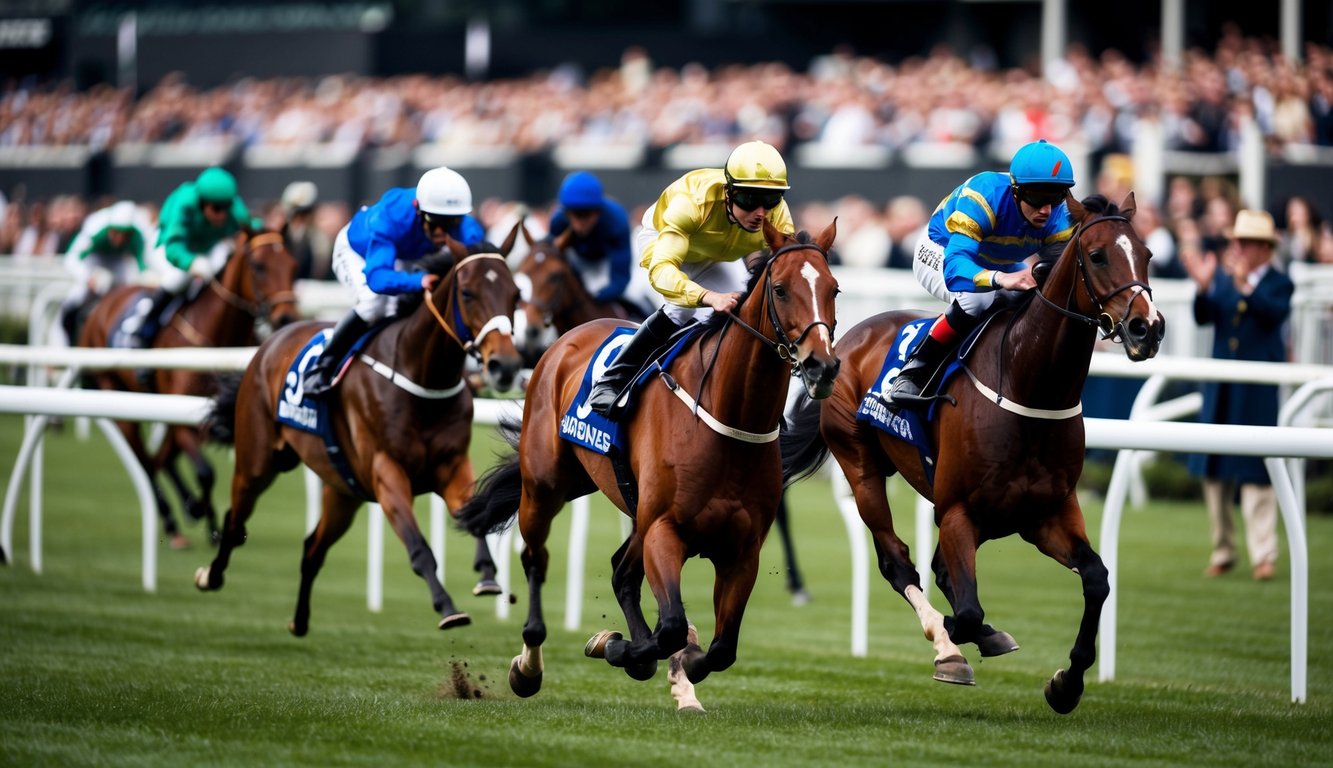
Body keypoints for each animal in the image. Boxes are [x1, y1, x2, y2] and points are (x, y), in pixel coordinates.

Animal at [77, 230, 299, 549]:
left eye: (294, 266)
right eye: (259, 266)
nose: (287, 317)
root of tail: (103, 303)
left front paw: (207, 519)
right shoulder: (188, 417)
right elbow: (206, 472)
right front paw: (206, 518)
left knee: (159, 459)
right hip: (115, 395)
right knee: (145, 462)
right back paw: (172, 521)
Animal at [197, 229, 525, 634]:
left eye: (516, 294)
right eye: (467, 293)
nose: (505, 365)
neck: (420, 375)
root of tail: (271, 342)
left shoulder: (451, 465)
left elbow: (476, 515)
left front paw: (488, 576)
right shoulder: (386, 474)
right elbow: (419, 548)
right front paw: (448, 607)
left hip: (343, 491)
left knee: (312, 548)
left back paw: (299, 621)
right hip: (257, 462)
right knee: (235, 520)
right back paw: (210, 576)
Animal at [453, 218, 837, 709]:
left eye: (834, 288)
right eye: (782, 289)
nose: (822, 366)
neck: (728, 415)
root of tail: (566, 339)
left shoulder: (742, 550)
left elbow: (720, 648)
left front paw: (670, 663)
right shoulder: (663, 529)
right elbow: (670, 625)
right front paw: (620, 647)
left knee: (621, 571)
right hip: (544, 486)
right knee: (536, 558)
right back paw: (528, 667)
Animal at [778, 192, 1167, 714]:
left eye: (1146, 253)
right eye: (1098, 255)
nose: (1147, 328)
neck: (1029, 385)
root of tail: (848, 338)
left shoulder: (1046, 514)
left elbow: (1097, 578)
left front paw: (1066, 684)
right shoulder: (958, 510)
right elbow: (963, 611)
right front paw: (950, 645)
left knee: (941, 570)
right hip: (861, 468)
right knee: (898, 562)